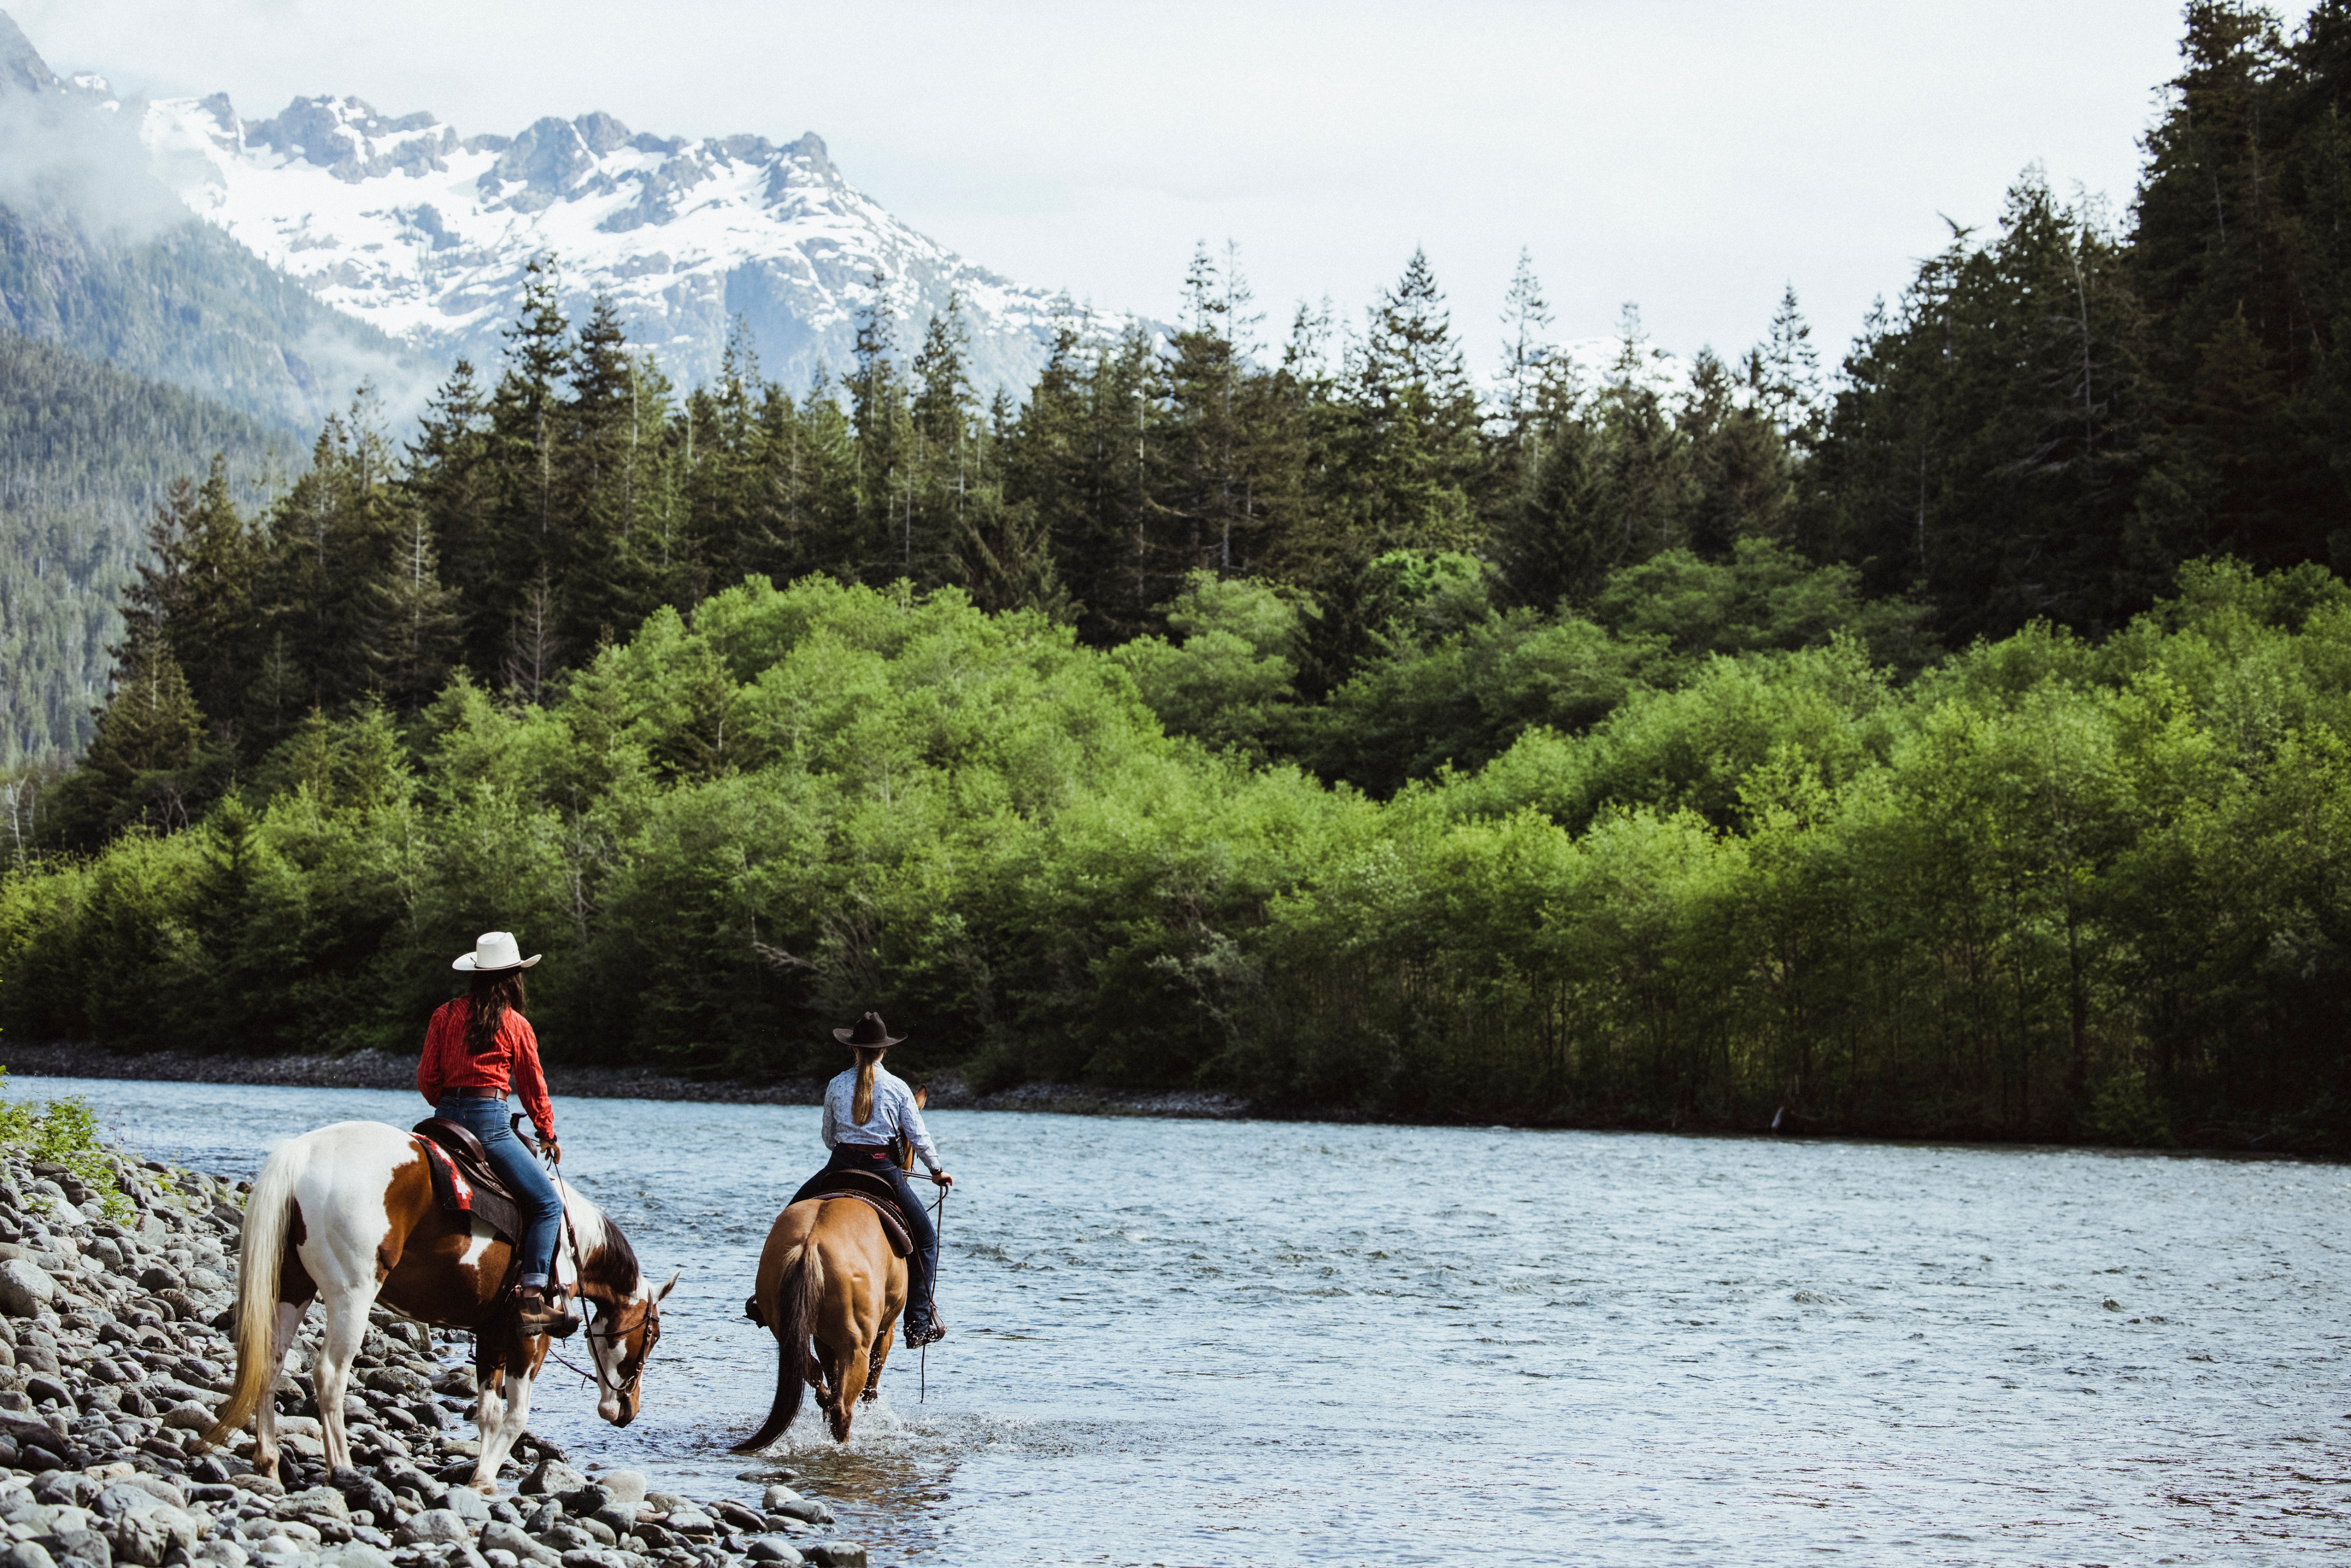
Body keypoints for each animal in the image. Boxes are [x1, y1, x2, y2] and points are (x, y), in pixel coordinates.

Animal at [196, 1124, 677, 1495]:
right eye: (652, 1336)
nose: (626, 1410)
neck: (572, 1241)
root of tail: (302, 1153)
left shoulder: (492, 1333)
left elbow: (488, 1413)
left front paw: (483, 1472)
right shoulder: (530, 1337)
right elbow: (516, 1414)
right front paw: (484, 1478)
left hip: (292, 1288)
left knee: (270, 1363)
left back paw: (269, 1462)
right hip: (351, 1295)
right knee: (330, 1374)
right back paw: (342, 1469)